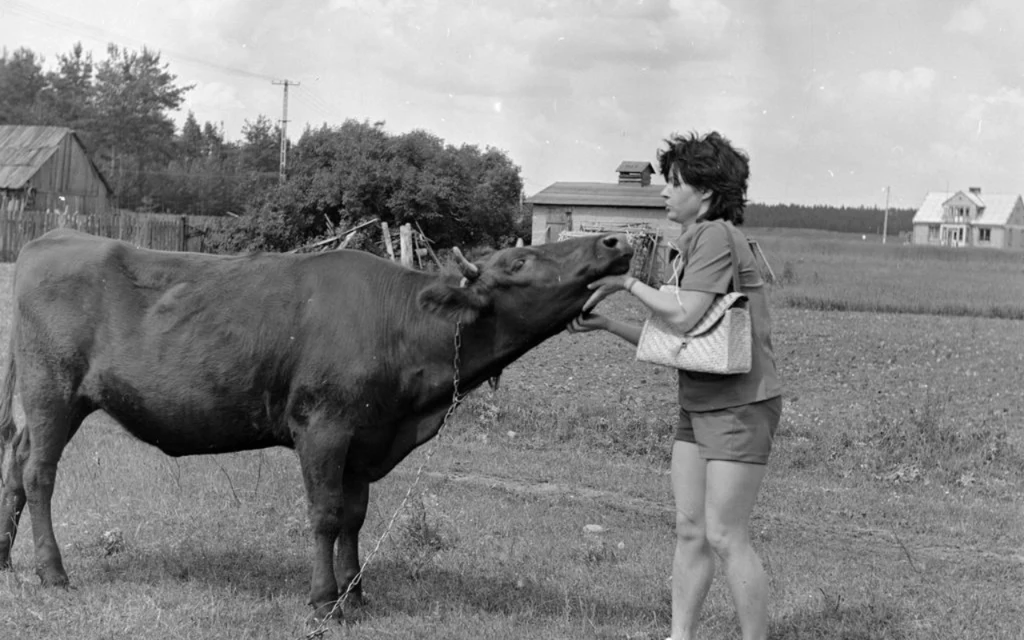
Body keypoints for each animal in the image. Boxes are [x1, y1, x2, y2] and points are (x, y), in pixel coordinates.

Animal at [0, 227, 630, 618]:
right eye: (519, 263)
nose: (614, 240)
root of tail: (50, 240)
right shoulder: (324, 428)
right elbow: (326, 515)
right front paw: (326, 599)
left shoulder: (366, 437)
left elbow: (354, 517)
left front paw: (357, 594)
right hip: (53, 392)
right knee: (39, 474)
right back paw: (52, 571)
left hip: (44, 402)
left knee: (14, 465)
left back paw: (5, 559)